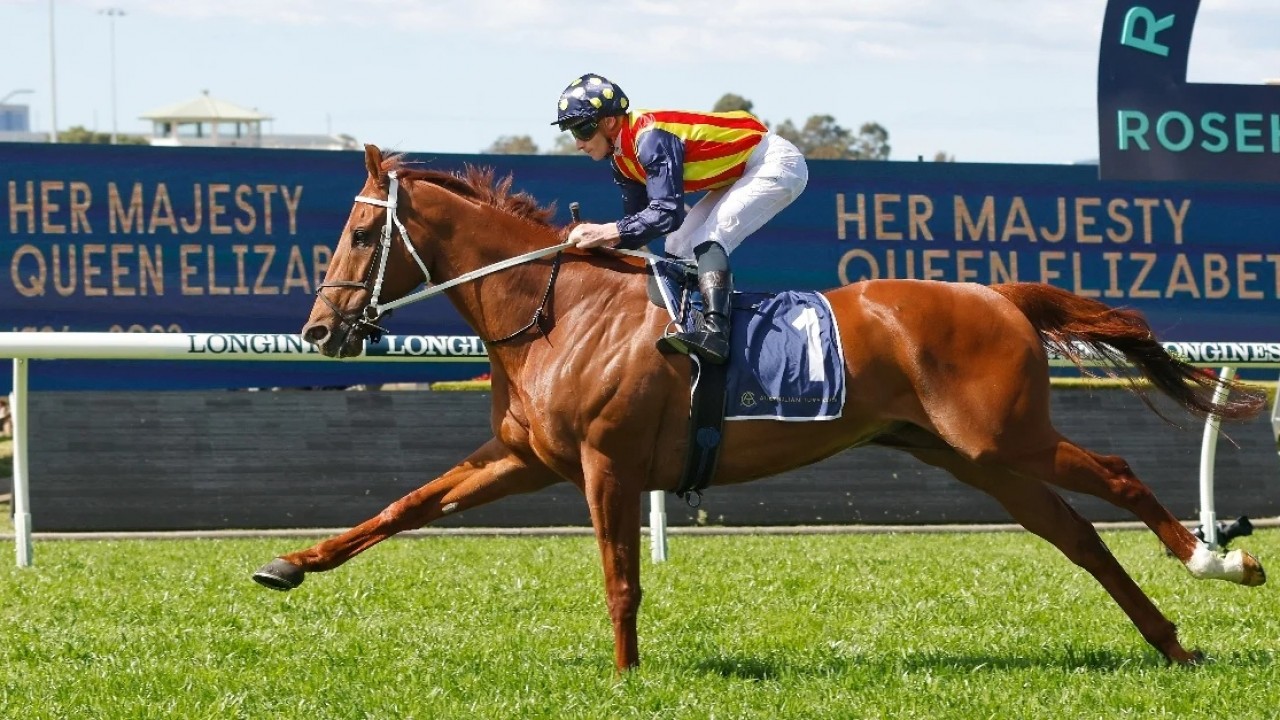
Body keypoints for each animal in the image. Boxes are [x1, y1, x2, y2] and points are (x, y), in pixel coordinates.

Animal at [254, 144, 1264, 666]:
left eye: (359, 233)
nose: (318, 329)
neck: (554, 310)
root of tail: (1000, 294)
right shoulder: (524, 458)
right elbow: (402, 508)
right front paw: (290, 564)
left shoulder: (607, 463)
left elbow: (620, 576)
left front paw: (626, 676)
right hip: (970, 454)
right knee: (1077, 536)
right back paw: (1172, 643)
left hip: (1003, 437)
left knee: (1119, 478)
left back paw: (1220, 562)